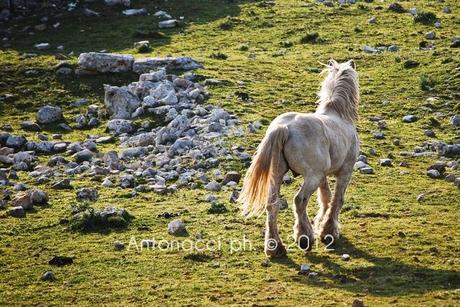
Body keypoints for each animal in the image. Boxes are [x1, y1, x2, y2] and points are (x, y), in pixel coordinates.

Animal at [239, 59, 362, 258]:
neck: (338, 114)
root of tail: (284, 128)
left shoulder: (323, 175)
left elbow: (325, 197)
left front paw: (321, 224)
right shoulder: (345, 172)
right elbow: (337, 199)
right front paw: (328, 231)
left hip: (278, 175)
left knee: (272, 205)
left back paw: (275, 248)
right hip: (311, 177)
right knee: (299, 200)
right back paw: (304, 238)